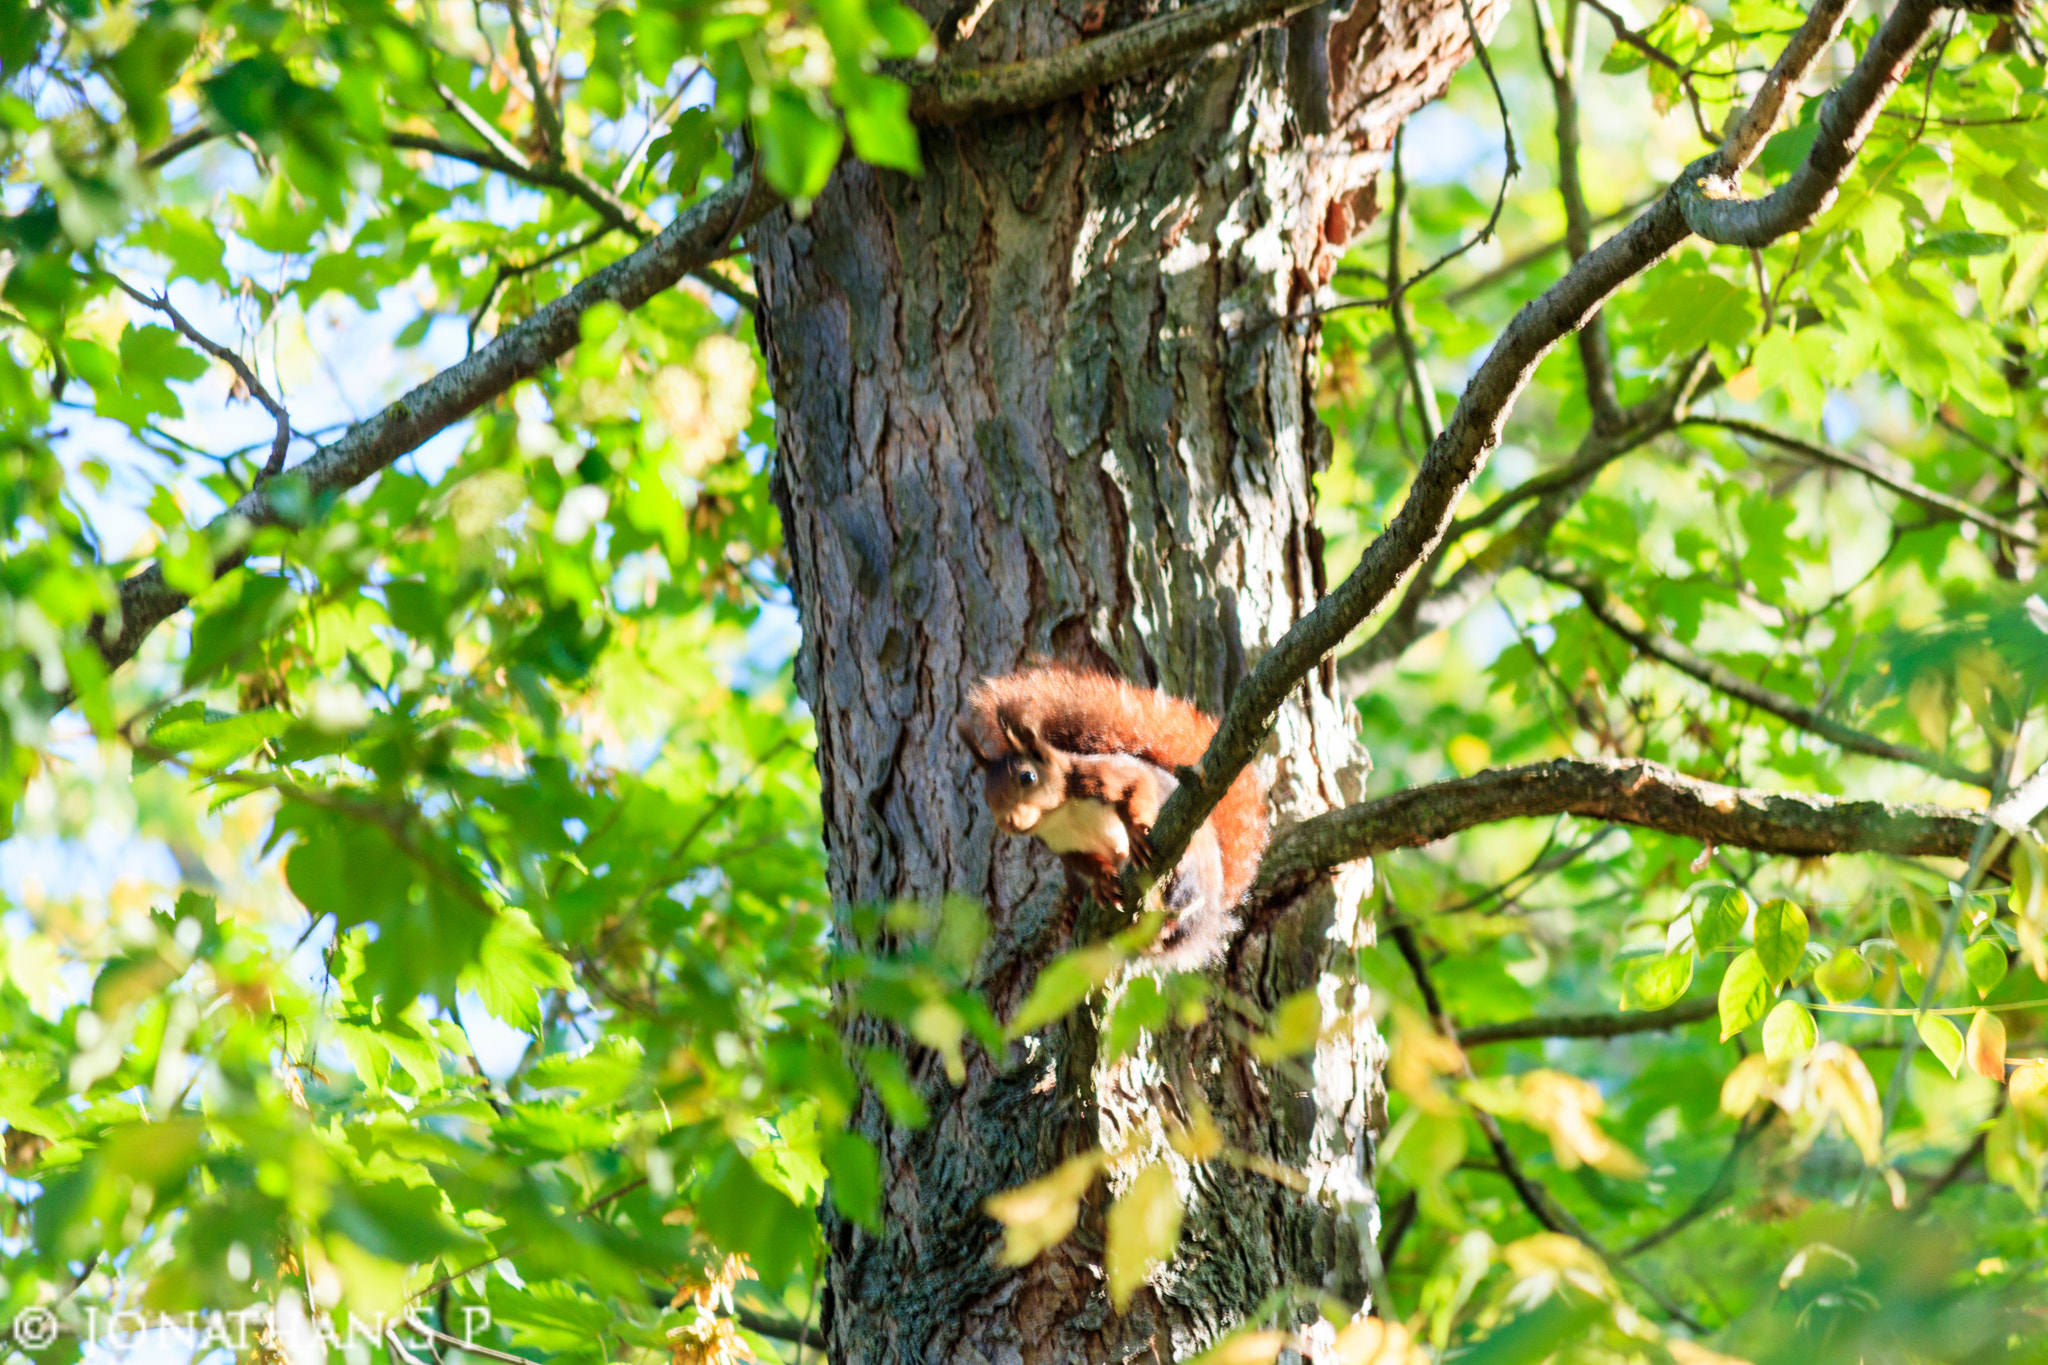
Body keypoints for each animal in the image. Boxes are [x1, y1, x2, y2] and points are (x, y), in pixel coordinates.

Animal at [957, 664, 1268, 968]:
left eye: (1027, 777)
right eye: (986, 797)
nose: (1007, 822)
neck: (1059, 816)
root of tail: (1211, 916)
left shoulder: (1101, 777)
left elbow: (1138, 786)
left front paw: (1137, 835)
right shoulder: (1060, 845)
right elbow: (1080, 861)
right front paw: (1103, 878)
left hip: (1191, 876)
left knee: (1176, 912)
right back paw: (1072, 914)